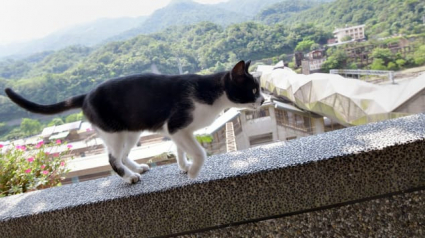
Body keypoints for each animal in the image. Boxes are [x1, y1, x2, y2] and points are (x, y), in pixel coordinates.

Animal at [5, 60, 264, 183]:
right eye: (253, 89)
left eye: (260, 89)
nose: (262, 99)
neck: (213, 94)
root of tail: (85, 95)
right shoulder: (177, 125)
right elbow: (199, 152)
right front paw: (193, 172)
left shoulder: (180, 131)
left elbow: (180, 149)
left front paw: (183, 166)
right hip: (114, 133)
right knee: (112, 158)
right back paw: (129, 177)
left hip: (130, 132)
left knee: (123, 154)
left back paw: (137, 167)